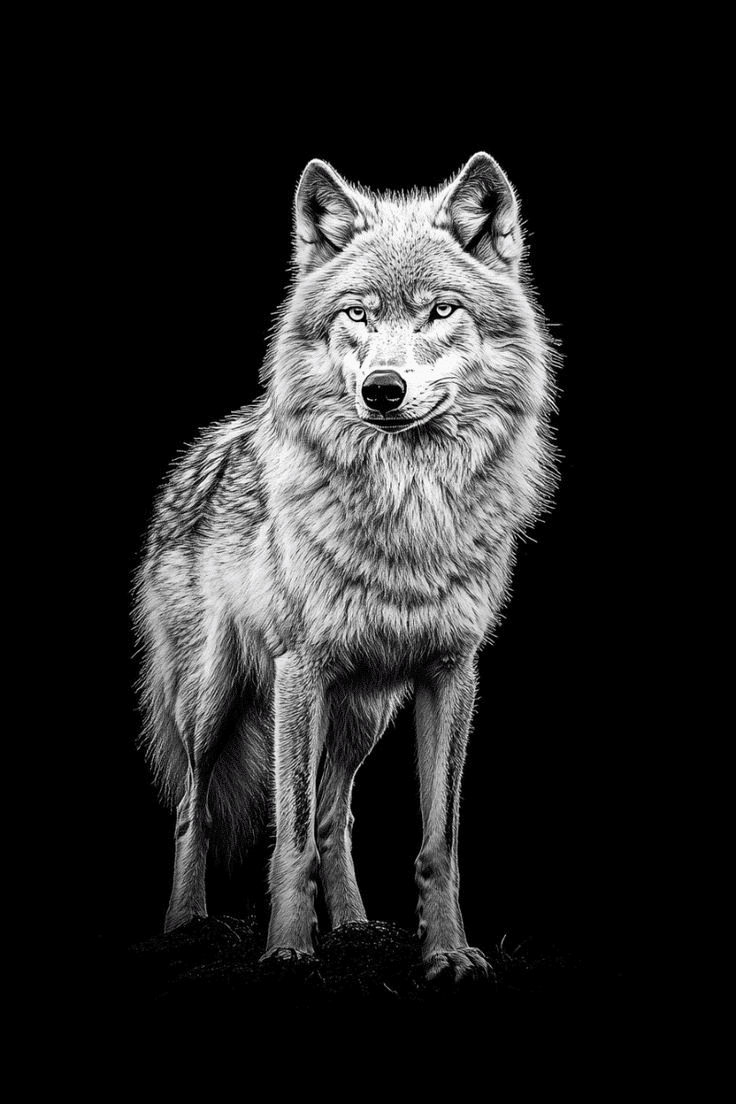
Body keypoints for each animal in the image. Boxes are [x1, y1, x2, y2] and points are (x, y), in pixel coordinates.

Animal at [134, 152, 556, 982]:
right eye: (356, 314)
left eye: (441, 311)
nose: (382, 390)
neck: (407, 509)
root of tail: (202, 450)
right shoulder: (300, 668)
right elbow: (289, 838)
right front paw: (288, 952)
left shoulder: (451, 673)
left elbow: (436, 843)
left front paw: (448, 953)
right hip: (216, 695)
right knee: (194, 809)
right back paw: (186, 927)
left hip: (363, 713)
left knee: (337, 813)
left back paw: (357, 930)